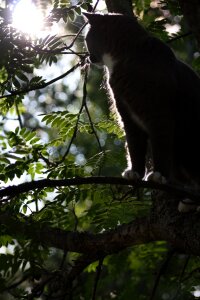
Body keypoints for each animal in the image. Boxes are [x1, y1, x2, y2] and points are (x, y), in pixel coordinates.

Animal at [83, 12, 200, 192]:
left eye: (86, 39)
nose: (87, 57)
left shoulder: (159, 111)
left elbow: (161, 143)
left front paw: (159, 175)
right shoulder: (127, 114)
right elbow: (134, 145)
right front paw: (135, 172)